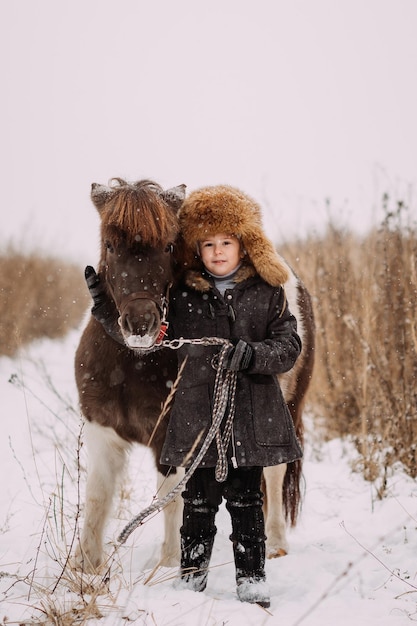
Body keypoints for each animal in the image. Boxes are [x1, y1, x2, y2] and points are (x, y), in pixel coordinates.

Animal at [74, 179, 312, 572]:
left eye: (169, 245)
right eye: (110, 244)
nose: (141, 324)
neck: (134, 362)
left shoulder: (174, 438)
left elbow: (172, 499)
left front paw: (169, 565)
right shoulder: (102, 433)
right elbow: (96, 497)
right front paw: (85, 566)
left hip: (286, 409)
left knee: (274, 474)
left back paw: (277, 542)